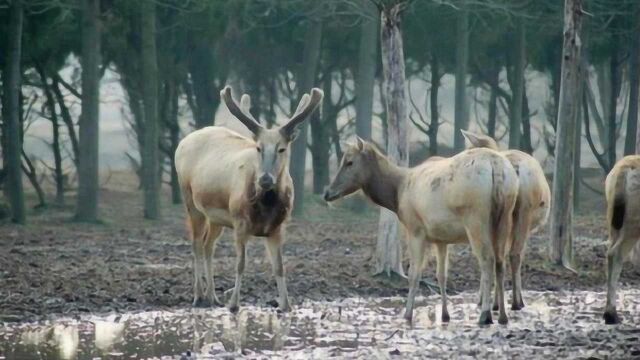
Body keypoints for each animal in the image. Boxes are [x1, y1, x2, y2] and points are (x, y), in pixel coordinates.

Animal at [174, 85, 322, 312]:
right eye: (259, 147)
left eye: (282, 148)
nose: (265, 179)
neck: (265, 207)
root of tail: (182, 142)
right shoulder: (239, 220)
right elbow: (240, 264)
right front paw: (234, 304)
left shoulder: (278, 227)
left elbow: (279, 266)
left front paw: (285, 305)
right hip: (190, 200)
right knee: (197, 243)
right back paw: (198, 296)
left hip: (216, 217)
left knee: (209, 245)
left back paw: (212, 296)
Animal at [324, 138, 520, 326]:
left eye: (349, 162)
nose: (327, 193)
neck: (397, 194)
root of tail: (496, 165)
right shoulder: (441, 238)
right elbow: (441, 275)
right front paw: (445, 315)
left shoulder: (415, 228)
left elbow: (414, 274)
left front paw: (407, 314)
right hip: (505, 217)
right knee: (500, 261)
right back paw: (503, 316)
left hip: (475, 218)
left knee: (487, 260)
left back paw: (485, 315)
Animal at [460, 129, 552, 310]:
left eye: (470, 149)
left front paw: (484, 300)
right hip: (524, 211)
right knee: (514, 253)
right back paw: (517, 302)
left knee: (498, 255)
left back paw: (498, 303)